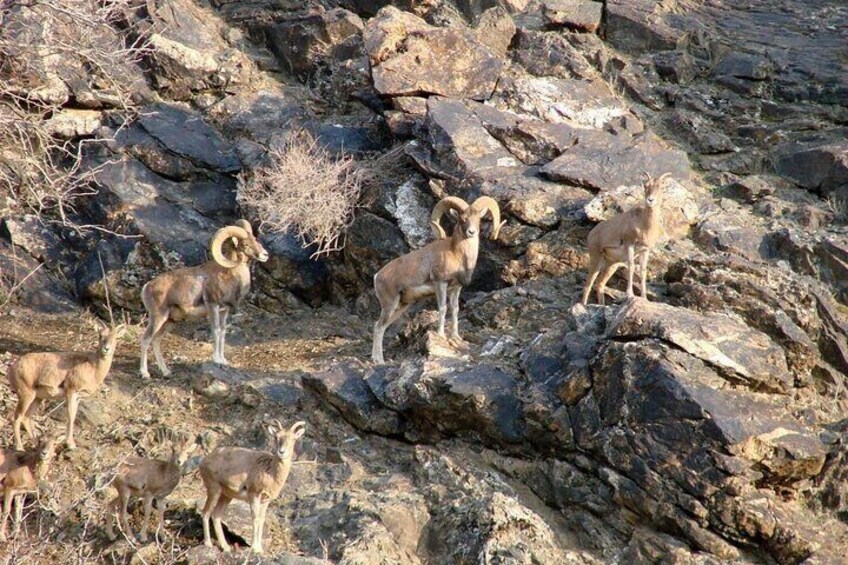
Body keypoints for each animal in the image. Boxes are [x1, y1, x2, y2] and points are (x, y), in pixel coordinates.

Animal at [7, 322, 126, 450]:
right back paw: (19, 447)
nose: (106, 349)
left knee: (26, 417)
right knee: (16, 417)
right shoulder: (71, 392)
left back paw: (35, 444)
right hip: (26, 396)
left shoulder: (77, 397)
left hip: (37, 398)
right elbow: (70, 415)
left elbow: (73, 415)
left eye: (116, 338)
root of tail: (12, 368)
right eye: (100, 336)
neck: (93, 369)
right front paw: (70, 444)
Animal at [137, 218, 268, 376]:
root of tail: (147, 287)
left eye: (255, 240)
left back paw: (166, 372)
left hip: (170, 321)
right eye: (246, 245)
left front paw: (223, 360)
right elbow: (216, 330)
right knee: (145, 339)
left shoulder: (224, 311)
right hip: (158, 317)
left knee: (156, 340)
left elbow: (223, 331)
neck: (228, 274)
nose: (265, 255)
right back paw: (145, 374)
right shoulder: (213, 306)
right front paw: (216, 360)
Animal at [198, 420, 304, 552]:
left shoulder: (265, 501)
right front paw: (255, 548)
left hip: (226, 496)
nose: (282, 452)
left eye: (293, 439)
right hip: (214, 490)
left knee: (216, 515)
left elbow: (262, 520)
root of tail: (203, 461)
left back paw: (226, 547)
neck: (270, 472)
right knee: (205, 513)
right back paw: (208, 543)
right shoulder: (254, 496)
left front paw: (260, 549)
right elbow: (255, 518)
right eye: (276, 437)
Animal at [372, 194, 504, 364]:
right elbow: (443, 308)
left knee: (381, 327)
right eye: (462, 219)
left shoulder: (456, 288)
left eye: (478, 219)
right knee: (378, 326)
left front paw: (456, 337)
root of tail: (377, 276)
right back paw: (378, 361)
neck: (457, 254)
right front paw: (441, 336)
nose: (471, 232)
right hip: (390, 304)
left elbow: (454, 309)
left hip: (401, 306)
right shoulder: (440, 284)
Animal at [580, 171, 672, 304]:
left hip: (612, 265)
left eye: (660, 187)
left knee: (600, 283)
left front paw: (644, 298)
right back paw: (583, 306)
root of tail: (592, 233)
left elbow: (643, 271)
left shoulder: (645, 251)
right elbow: (631, 267)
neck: (644, 225)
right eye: (646, 186)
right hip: (596, 259)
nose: (650, 200)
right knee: (588, 284)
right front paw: (630, 294)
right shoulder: (630, 244)